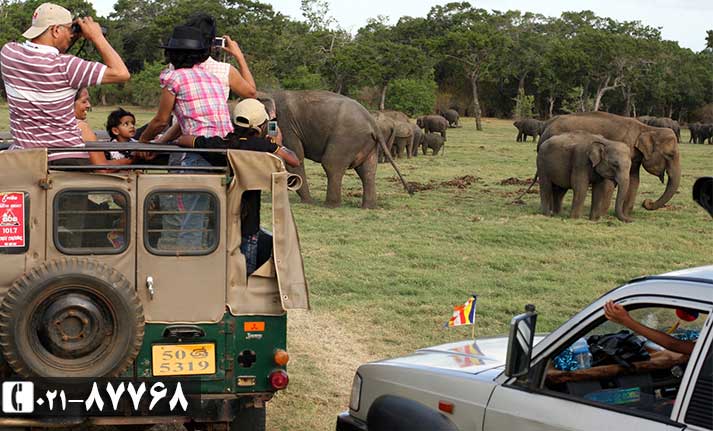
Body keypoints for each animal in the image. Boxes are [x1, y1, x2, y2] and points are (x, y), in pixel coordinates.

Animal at [258, 90, 386, 208]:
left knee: (331, 163)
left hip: (346, 138)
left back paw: (330, 205)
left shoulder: (286, 127)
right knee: (367, 171)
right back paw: (368, 207)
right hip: (367, 145)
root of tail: (374, 125)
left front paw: (308, 202)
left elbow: (295, 159)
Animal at [540, 111, 680, 219]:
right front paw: (603, 215)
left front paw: (625, 215)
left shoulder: (634, 157)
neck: (647, 129)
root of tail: (547, 124)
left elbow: (634, 180)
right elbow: (609, 183)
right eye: (670, 155)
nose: (647, 202)